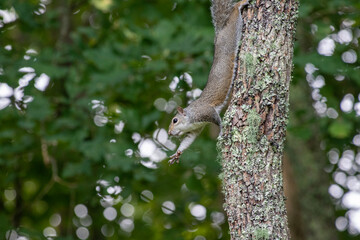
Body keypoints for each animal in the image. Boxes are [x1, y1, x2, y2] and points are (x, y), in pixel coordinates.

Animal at [168, 0, 248, 164]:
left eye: (175, 120)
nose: (169, 133)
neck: (191, 117)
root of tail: (220, 32)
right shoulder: (195, 129)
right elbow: (188, 141)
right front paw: (178, 153)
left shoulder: (206, 112)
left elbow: (218, 120)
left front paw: (222, 133)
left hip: (231, 34)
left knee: (235, 15)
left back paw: (240, 5)